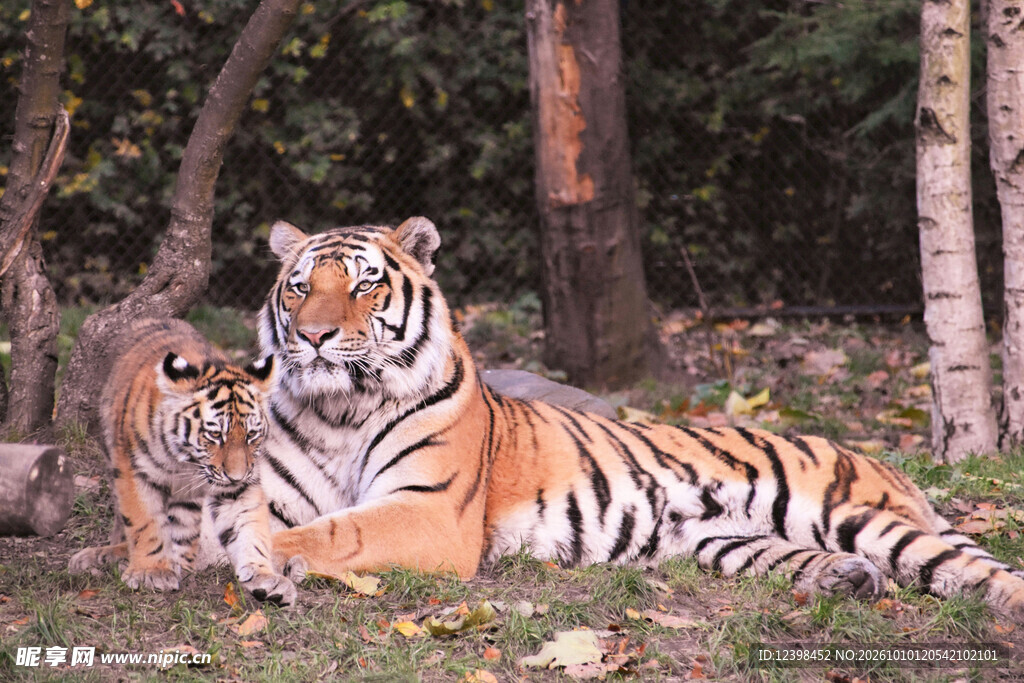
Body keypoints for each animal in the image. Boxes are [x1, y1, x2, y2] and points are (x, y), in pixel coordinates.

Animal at [69, 318, 296, 606]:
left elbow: (249, 529)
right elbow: (145, 522)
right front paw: (150, 572)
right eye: (215, 435)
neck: (186, 461)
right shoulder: (135, 472)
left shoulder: (239, 486)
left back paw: (182, 564)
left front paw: (265, 577)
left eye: (251, 435)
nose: (236, 475)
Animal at [256, 216, 1024, 620]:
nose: (316, 335)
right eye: (299, 287)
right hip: (726, 541)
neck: (341, 409)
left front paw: (262, 562)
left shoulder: (429, 511)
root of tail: (886, 463)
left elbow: (333, 531)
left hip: (852, 513)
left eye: (365, 284)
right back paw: (848, 580)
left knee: (970, 570)